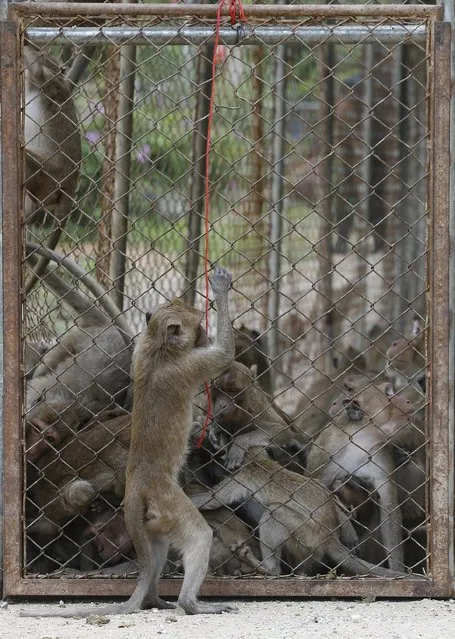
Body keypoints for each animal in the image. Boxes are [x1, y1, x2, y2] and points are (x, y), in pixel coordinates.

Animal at [22, 266, 235, 620]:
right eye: (200, 327)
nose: (205, 335)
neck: (160, 348)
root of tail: (137, 486)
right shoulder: (191, 364)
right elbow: (225, 355)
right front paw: (221, 288)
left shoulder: (138, 350)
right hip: (167, 499)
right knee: (199, 536)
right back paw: (189, 603)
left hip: (154, 515)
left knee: (157, 545)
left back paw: (154, 597)